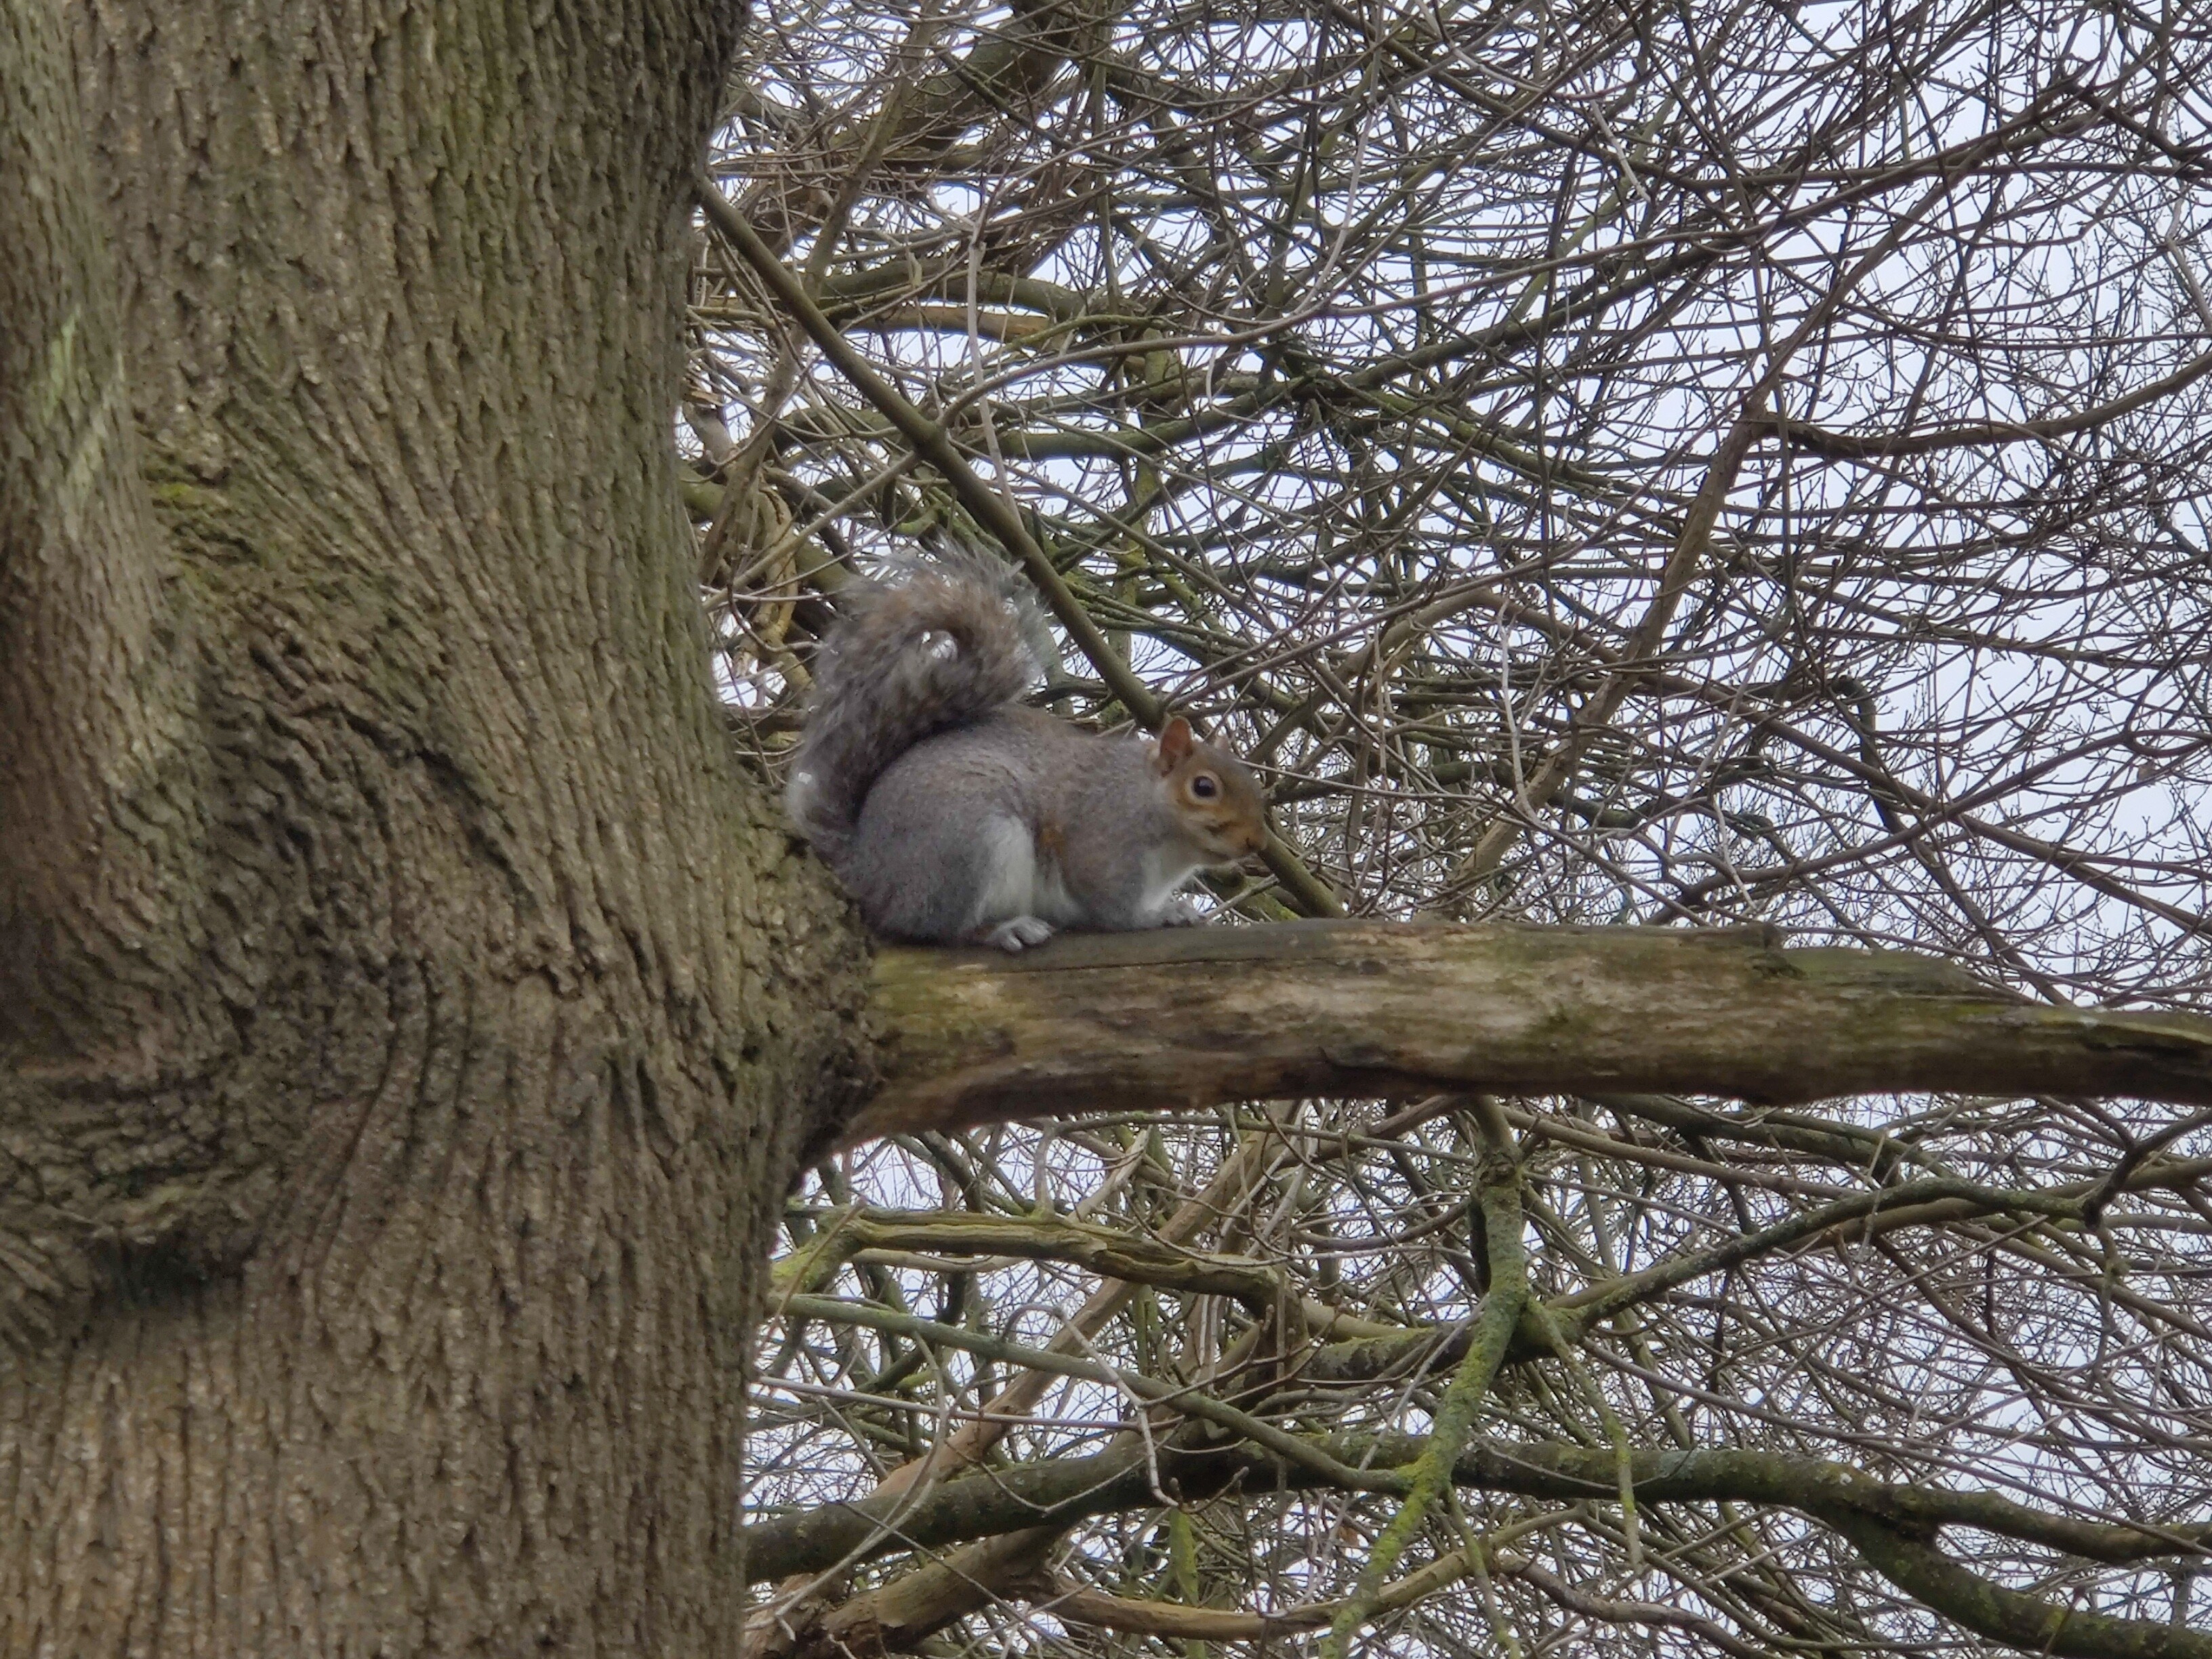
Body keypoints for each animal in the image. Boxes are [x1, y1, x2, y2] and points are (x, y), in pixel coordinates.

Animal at [785, 562, 1270, 951]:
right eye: (1203, 787)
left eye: (1253, 784)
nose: (1256, 842)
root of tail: (867, 870)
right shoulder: (1105, 844)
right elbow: (1114, 910)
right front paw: (1160, 915)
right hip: (966, 846)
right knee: (940, 929)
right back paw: (1005, 930)